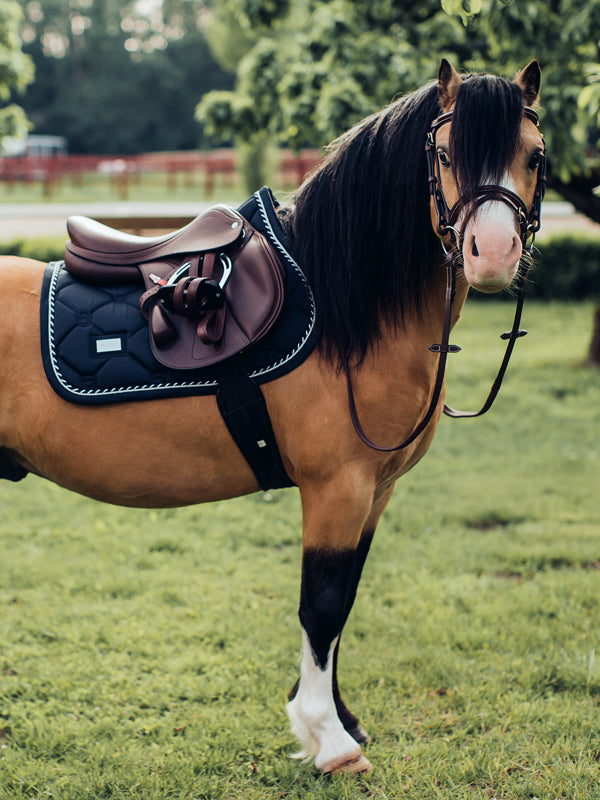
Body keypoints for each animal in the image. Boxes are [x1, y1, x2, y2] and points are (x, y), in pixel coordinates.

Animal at [0, 60, 546, 774]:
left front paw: (342, 722)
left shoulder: (375, 492)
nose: (493, 253)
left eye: (534, 155)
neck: (343, 310)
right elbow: (322, 606)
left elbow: (344, 601)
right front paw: (329, 740)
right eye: (448, 155)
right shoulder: (337, 487)